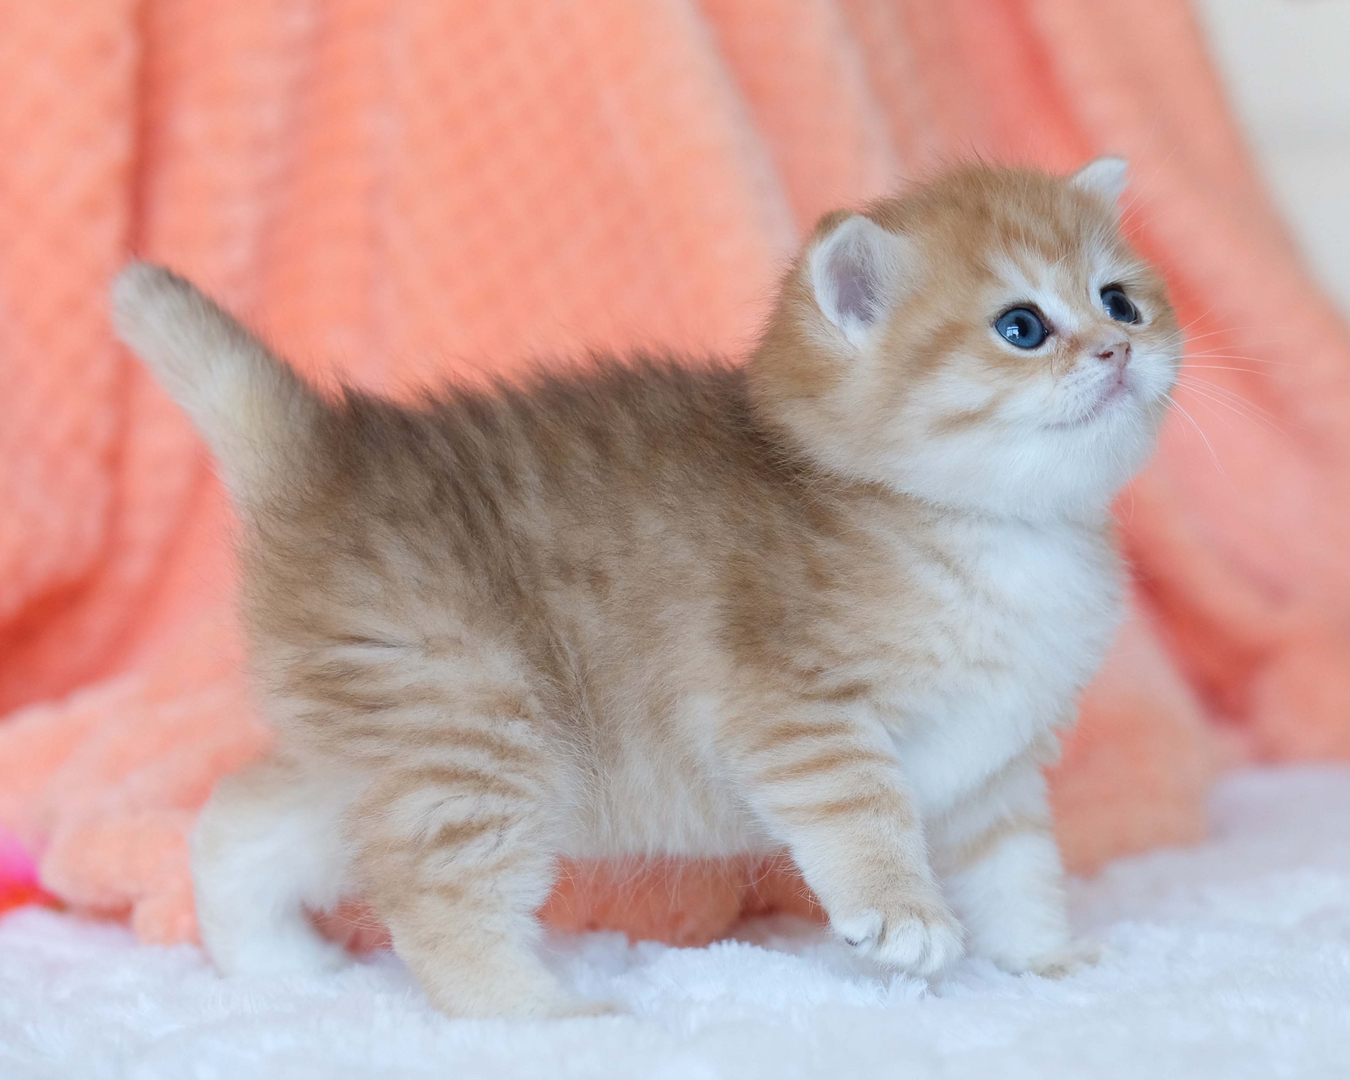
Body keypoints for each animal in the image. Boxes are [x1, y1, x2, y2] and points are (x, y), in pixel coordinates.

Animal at [110, 155, 1177, 1015]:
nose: (1118, 348)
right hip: (480, 731)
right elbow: (864, 813)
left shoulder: (994, 766)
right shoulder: (799, 712)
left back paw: (275, 966)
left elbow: (1019, 871)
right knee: (433, 895)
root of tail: (330, 457)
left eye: (1121, 300)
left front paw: (1050, 962)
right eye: (1022, 326)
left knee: (240, 822)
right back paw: (547, 1019)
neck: (996, 531)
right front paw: (901, 911)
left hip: (376, 759)